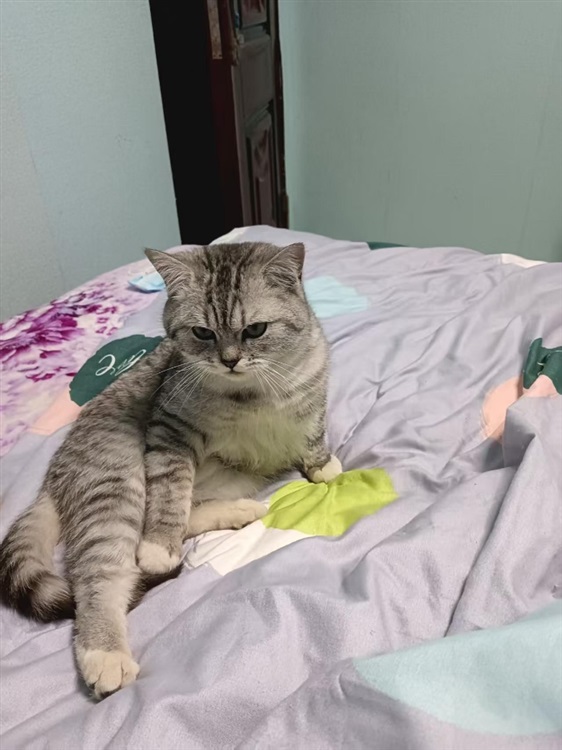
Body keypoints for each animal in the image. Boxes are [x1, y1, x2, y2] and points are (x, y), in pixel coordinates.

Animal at [0, 241, 342, 699]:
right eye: (202, 333)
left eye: (255, 330)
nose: (230, 360)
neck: (252, 395)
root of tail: (51, 479)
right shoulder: (170, 432)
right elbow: (168, 495)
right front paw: (159, 544)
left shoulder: (312, 399)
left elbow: (313, 436)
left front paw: (323, 466)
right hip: (116, 484)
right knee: (99, 576)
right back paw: (106, 652)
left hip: (233, 477)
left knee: (189, 515)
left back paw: (239, 511)